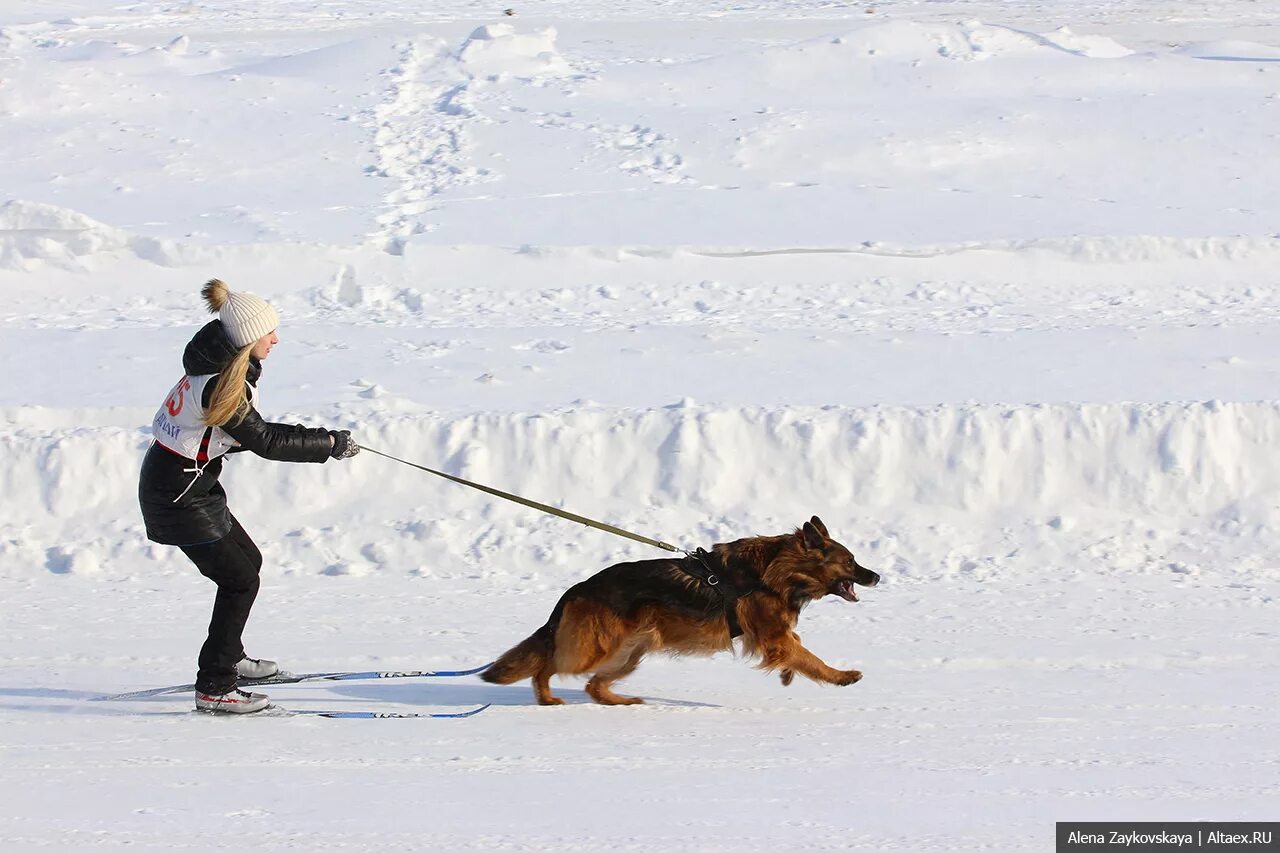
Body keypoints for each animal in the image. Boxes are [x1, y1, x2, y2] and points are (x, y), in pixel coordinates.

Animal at [481, 514, 880, 701]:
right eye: (849, 562)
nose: (876, 576)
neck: (777, 571)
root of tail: (577, 590)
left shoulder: (774, 636)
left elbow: (795, 650)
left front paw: (787, 673)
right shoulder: (773, 634)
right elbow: (809, 657)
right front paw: (841, 675)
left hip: (629, 654)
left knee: (593, 685)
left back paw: (620, 702)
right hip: (596, 650)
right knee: (547, 666)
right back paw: (547, 696)